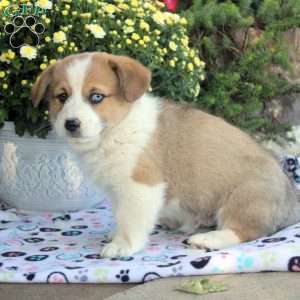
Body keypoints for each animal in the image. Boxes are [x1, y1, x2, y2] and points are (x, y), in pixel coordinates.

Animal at [31, 52, 298, 258]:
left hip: (245, 197)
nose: (71, 124)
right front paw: (115, 234)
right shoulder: (117, 190)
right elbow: (120, 215)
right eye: (62, 97)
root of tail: (291, 201)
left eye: (96, 97)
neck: (116, 130)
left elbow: (130, 221)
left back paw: (207, 239)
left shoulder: (141, 186)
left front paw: (122, 246)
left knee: (246, 231)